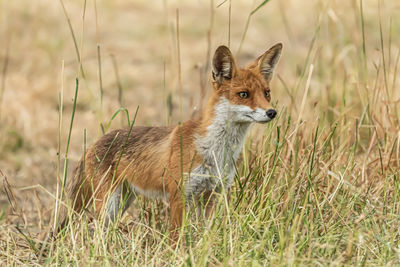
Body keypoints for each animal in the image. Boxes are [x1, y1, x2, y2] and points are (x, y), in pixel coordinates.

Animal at [59, 43, 282, 241]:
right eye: (244, 94)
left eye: (267, 93)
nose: (272, 112)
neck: (214, 150)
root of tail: (94, 142)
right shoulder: (179, 194)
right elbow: (176, 238)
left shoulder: (212, 194)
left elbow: (206, 235)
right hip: (108, 204)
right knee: (94, 233)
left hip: (123, 201)